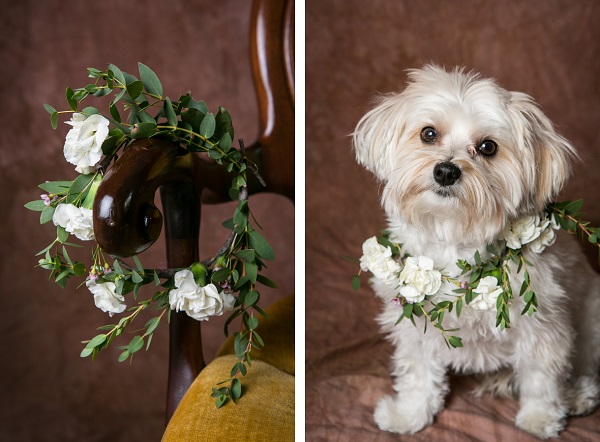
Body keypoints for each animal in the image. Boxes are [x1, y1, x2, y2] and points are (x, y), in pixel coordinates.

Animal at [352, 64, 600, 438]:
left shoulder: (542, 327)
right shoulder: (415, 327)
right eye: (428, 134)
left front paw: (540, 418)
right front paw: (410, 415)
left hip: (591, 322)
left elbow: (541, 378)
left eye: (487, 147)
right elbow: (418, 375)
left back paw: (577, 395)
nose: (446, 171)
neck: (455, 233)